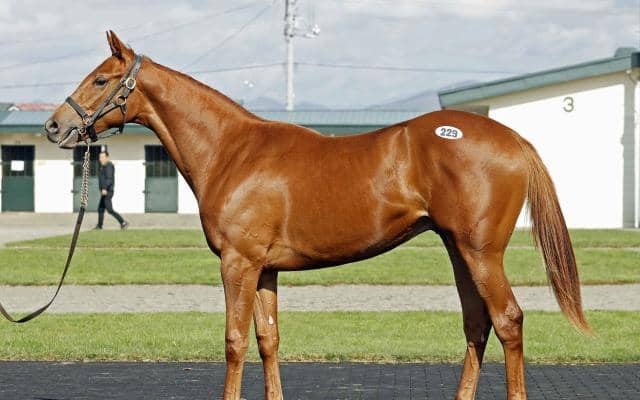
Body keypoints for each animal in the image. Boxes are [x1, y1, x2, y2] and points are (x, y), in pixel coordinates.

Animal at [44, 31, 589, 400]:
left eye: (101, 79)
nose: (54, 125)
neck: (232, 151)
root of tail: (512, 138)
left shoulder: (238, 264)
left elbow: (234, 341)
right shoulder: (264, 270)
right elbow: (268, 339)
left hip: (481, 253)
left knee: (509, 321)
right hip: (459, 251)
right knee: (477, 324)